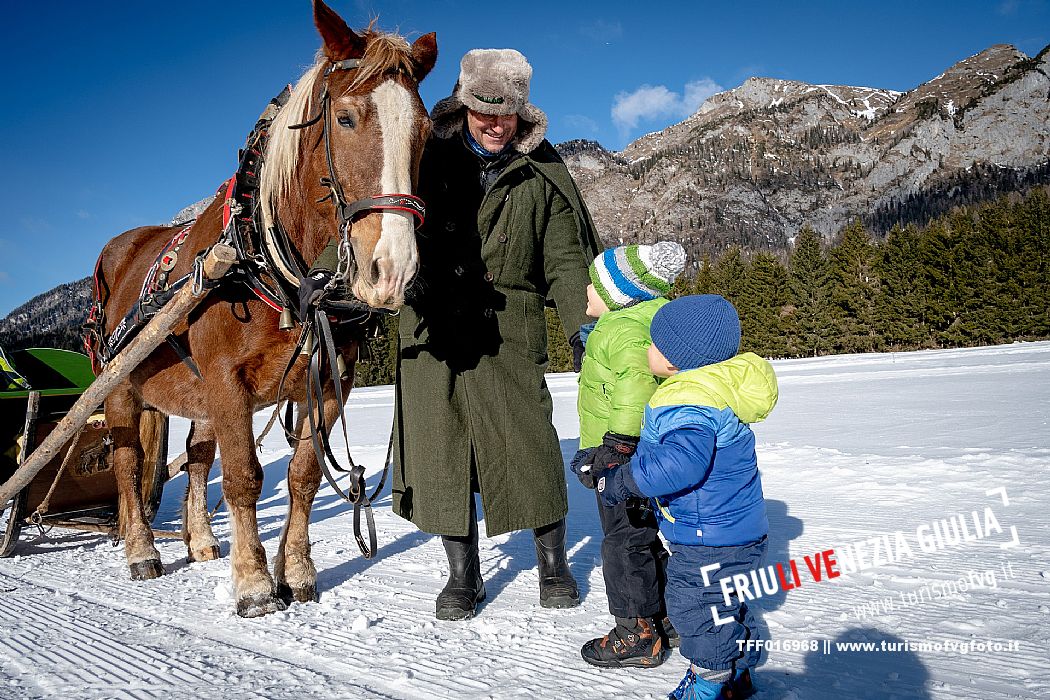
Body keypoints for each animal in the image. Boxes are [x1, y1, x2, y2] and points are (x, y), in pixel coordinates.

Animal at [91, 4, 434, 617]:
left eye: (423, 132)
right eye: (345, 119)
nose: (391, 270)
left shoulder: (328, 385)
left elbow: (302, 477)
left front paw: (295, 573)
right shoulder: (228, 382)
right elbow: (245, 478)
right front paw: (252, 583)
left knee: (196, 458)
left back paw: (200, 540)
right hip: (122, 386)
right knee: (128, 463)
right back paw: (141, 549)